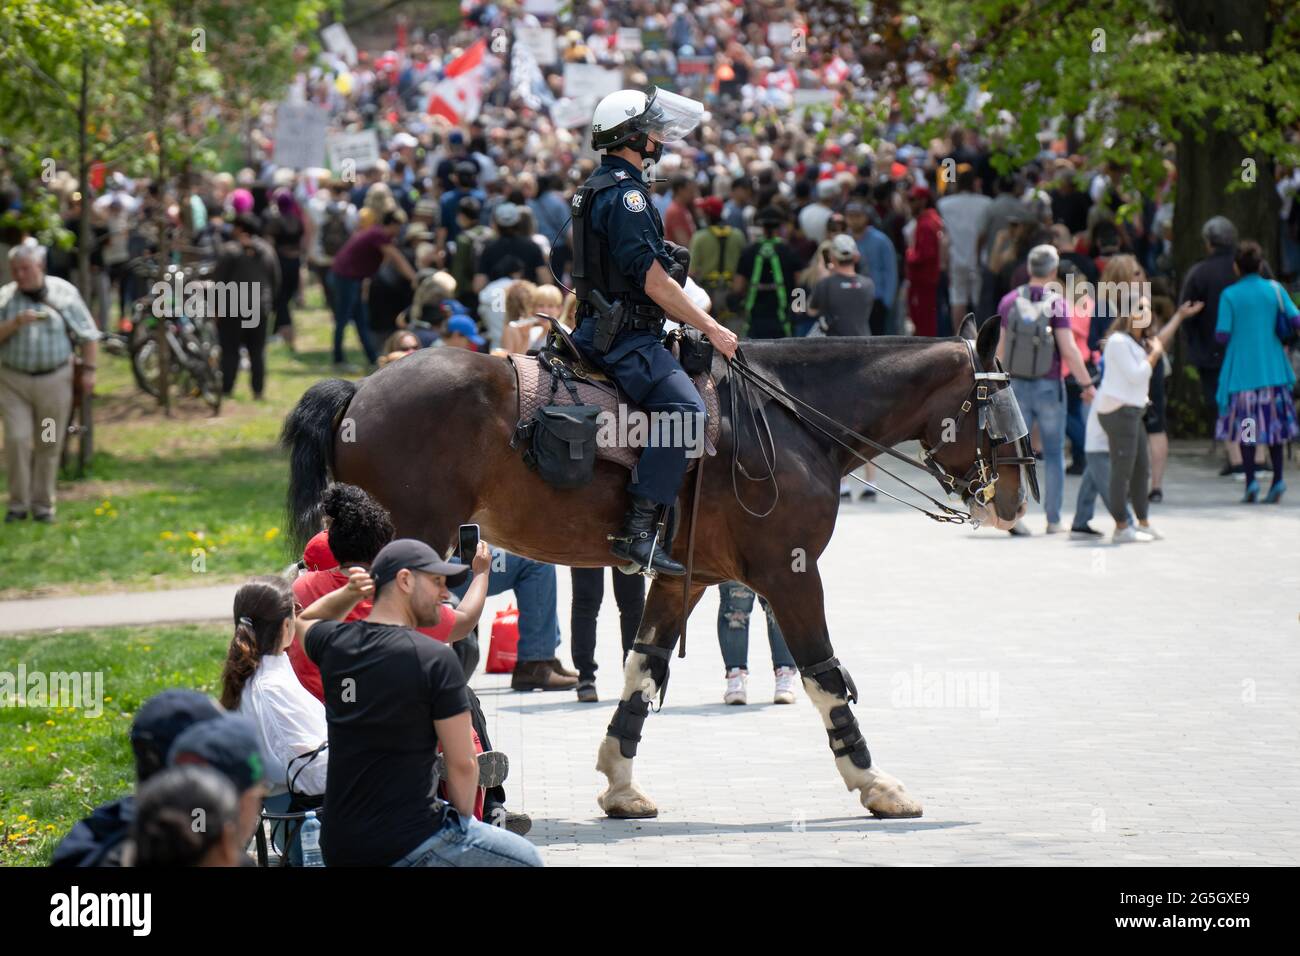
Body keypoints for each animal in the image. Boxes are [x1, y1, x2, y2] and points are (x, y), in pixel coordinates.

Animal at [284, 316, 1024, 822]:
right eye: (997, 407)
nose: (1017, 499)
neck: (790, 420)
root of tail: (361, 392)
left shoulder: (680, 579)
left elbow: (642, 669)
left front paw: (620, 781)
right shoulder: (791, 575)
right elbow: (825, 678)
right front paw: (875, 783)